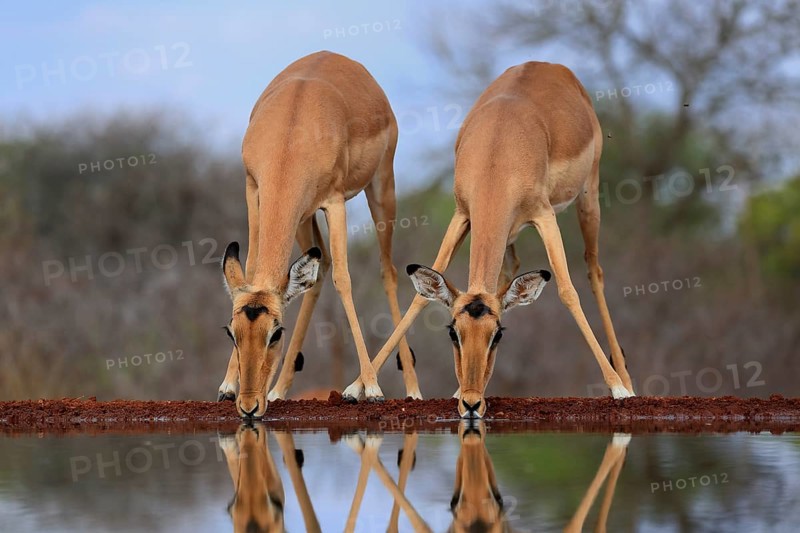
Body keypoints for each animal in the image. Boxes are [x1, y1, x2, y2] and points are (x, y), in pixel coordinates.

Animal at [218, 51, 421, 418]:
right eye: (233, 333)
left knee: (387, 271)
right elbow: (253, 270)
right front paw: (227, 386)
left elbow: (345, 280)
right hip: (303, 216)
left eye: (275, 333)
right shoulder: (254, 190)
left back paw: (409, 390)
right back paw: (279, 389)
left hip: (382, 188)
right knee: (319, 267)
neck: (290, 135)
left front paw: (370, 389)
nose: (249, 405)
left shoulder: (335, 202)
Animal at [343, 61, 636, 417]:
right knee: (512, 271)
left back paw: (626, 383)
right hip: (509, 232)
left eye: (497, 335)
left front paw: (618, 389)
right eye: (454, 332)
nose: (471, 402)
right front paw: (357, 388)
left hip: (588, 198)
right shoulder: (462, 215)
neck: (498, 150)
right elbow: (420, 297)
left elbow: (568, 291)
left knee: (594, 272)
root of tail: (551, 66)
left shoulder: (544, 216)